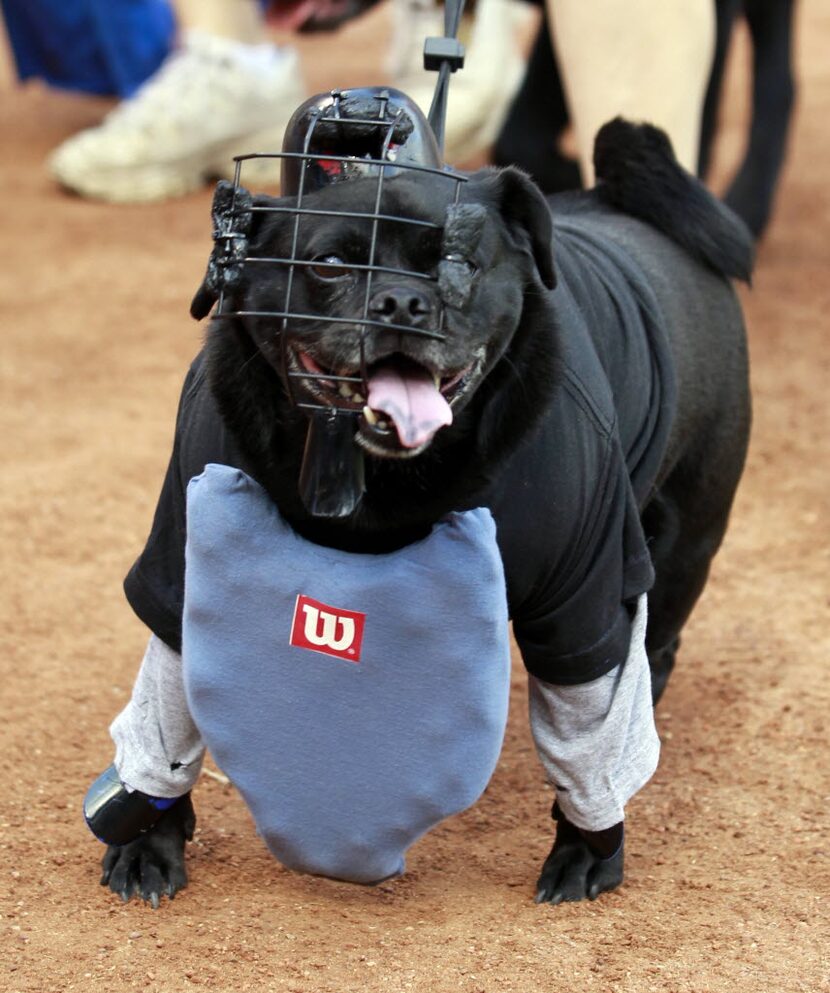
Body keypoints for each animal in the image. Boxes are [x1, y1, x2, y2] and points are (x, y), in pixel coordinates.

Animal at [96, 118, 752, 908]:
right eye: (329, 265)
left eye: (461, 263)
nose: (405, 304)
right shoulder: (182, 562)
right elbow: (168, 717)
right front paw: (149, 837)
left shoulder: (583, 601)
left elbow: (589, 746)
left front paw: (589, 847)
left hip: (680, 549)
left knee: (652, 653)